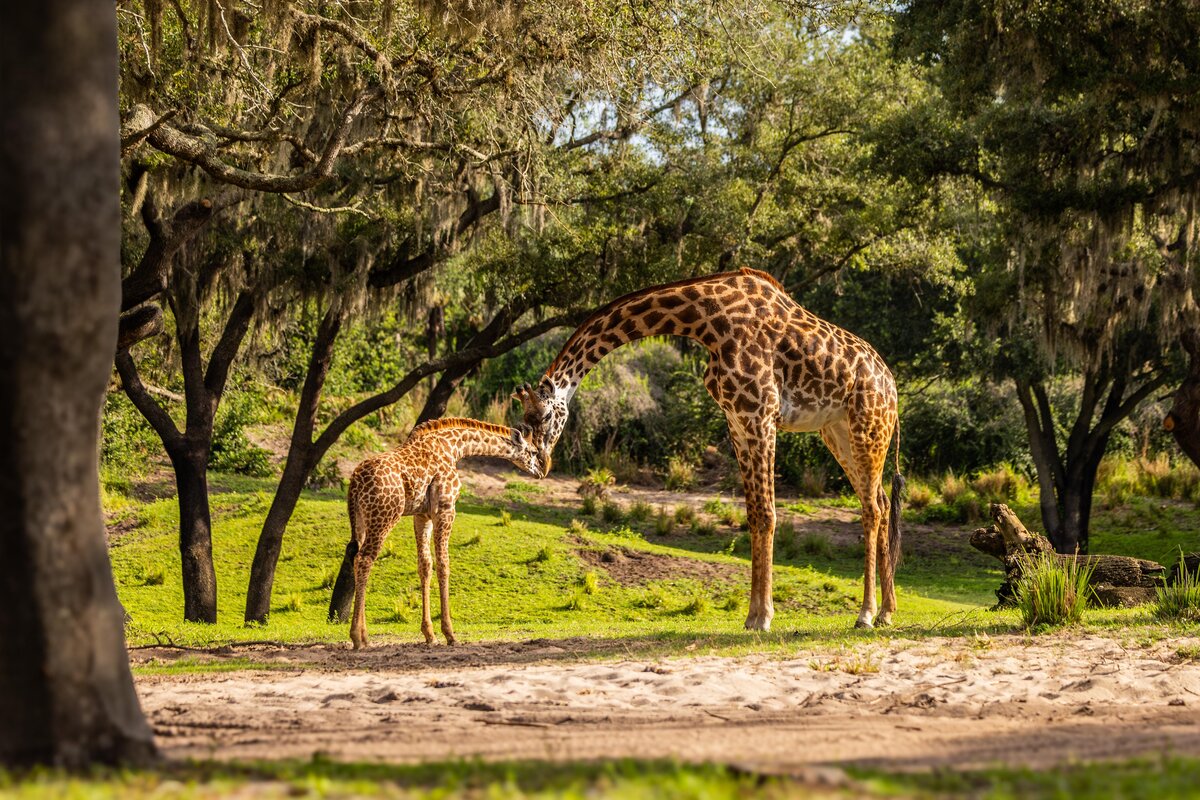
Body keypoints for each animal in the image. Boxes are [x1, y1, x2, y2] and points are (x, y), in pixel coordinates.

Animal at [344, 418, 545, 649]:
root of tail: (355, 481)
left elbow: (425, 565)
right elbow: (443, 564)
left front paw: (429, 634)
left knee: (356, 558)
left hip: (361, 519)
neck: (454, 448)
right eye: (533, 451)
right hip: (385, 517)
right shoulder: (446, 508)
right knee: (365, 559)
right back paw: (357, 637)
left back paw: (365, 636)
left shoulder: (422, 515)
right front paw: (450, 634)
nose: (540, 472)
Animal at [515, 268, 903, 630]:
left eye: (545, 415)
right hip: (837, 431)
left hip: (867, 424)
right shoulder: (737, 420)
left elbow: (767, 513)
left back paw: (866, 614)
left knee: (871, 508)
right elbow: (754, 515)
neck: (705, 321)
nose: (541, 464)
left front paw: (763, 617)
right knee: (882, 502)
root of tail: (892, 386)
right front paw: (751, 616)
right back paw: (887, 611)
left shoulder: (761, 414)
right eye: (524, 419)